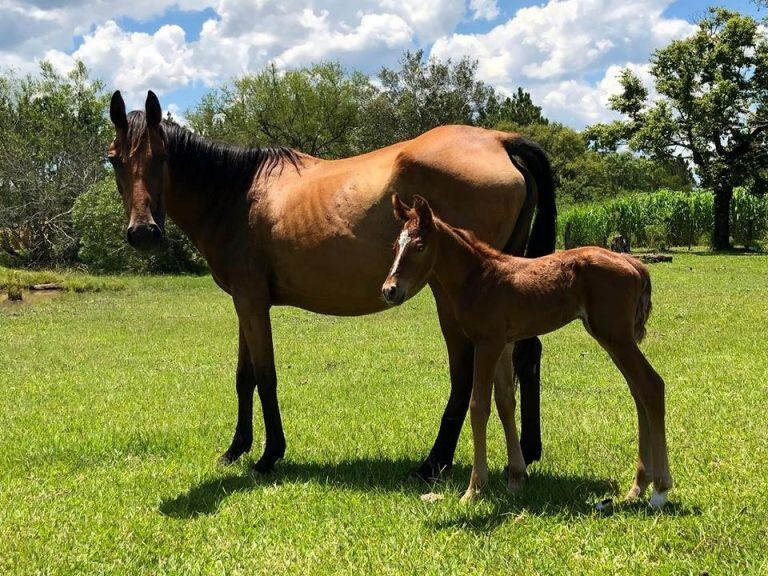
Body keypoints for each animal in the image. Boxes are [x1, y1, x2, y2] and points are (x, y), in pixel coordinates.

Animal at [384, 195, 672, 508]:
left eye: (419, 246)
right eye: (395, 246)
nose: (389, 290)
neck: (479, 277)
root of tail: (632, 262)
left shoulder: (486, 343)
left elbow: (479, 406)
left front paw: (474, 489)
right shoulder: (504, 345)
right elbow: (505, 403)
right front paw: (515, 479)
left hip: (615, 335)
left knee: (651, 385)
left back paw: (659, 490)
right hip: (614, 338)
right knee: (638, 392)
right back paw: (638, 487)